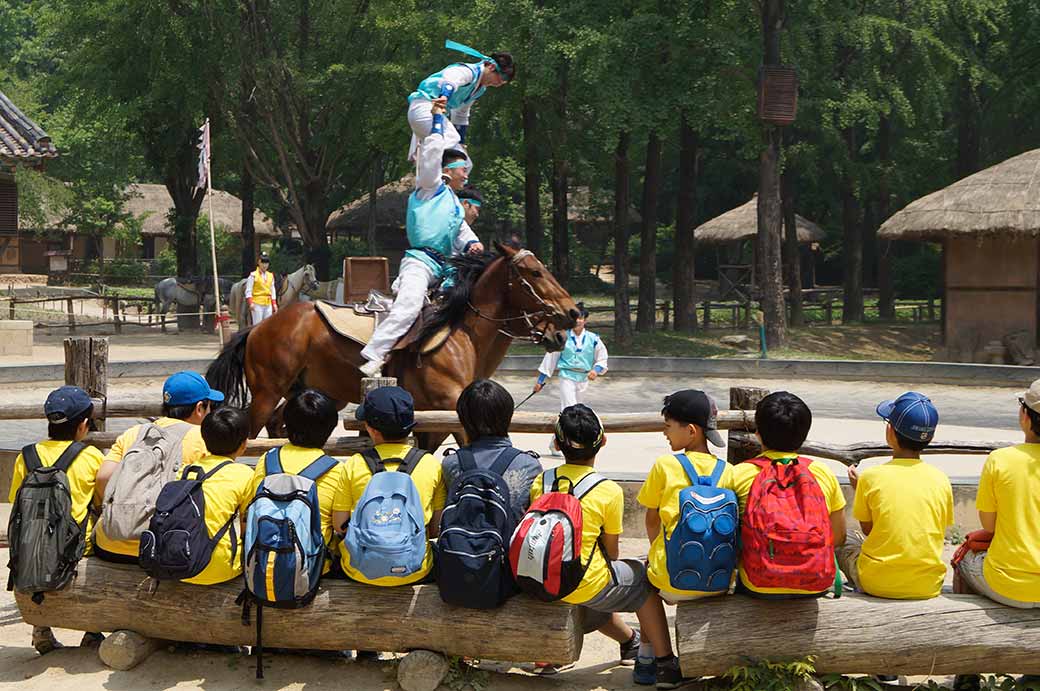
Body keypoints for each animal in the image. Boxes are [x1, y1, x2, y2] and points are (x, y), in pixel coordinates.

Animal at [206, 242, 580, 449]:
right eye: (534, 272)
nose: (573, 314)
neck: (460, 334)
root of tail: (258, 328)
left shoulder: (434, 422)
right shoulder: (452, 411)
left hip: (312, 392)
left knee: (279, 427)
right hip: (267, 393)